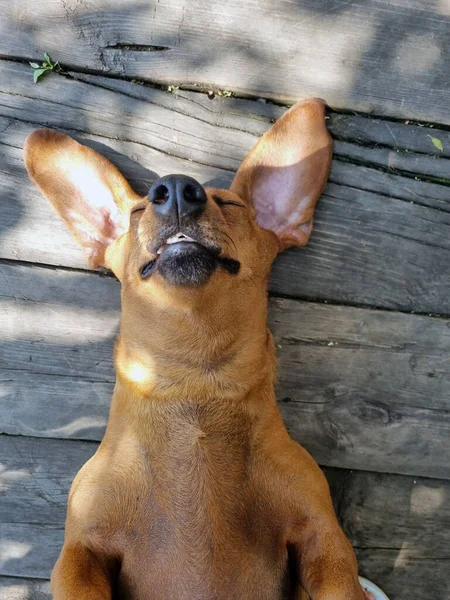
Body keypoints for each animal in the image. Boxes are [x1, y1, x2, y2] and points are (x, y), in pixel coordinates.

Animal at [23, 99, 370, 600]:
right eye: (137, 211)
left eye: (230, 204)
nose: (175, 189)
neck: (196, 384)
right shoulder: (79, 553)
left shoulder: (322, 534)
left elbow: (340, 580)